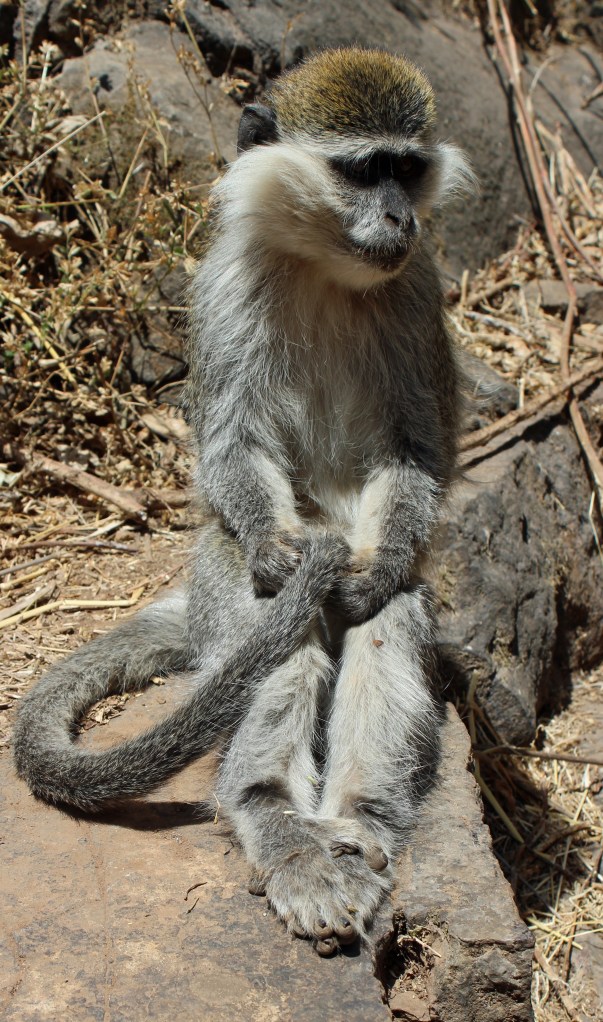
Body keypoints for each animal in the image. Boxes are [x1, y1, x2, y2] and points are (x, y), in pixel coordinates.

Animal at [13, 48, 473, 957]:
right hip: (223, 589)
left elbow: (416, 455)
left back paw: (358, 822)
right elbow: (230, 444)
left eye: (407, 168)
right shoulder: (222, 287)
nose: (399, 217)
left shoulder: (417, 294)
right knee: (274, 632)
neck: (324, 269)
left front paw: (376, 571)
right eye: (362, 170)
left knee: (386, 618)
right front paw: (274, 549)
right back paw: (280, 825)